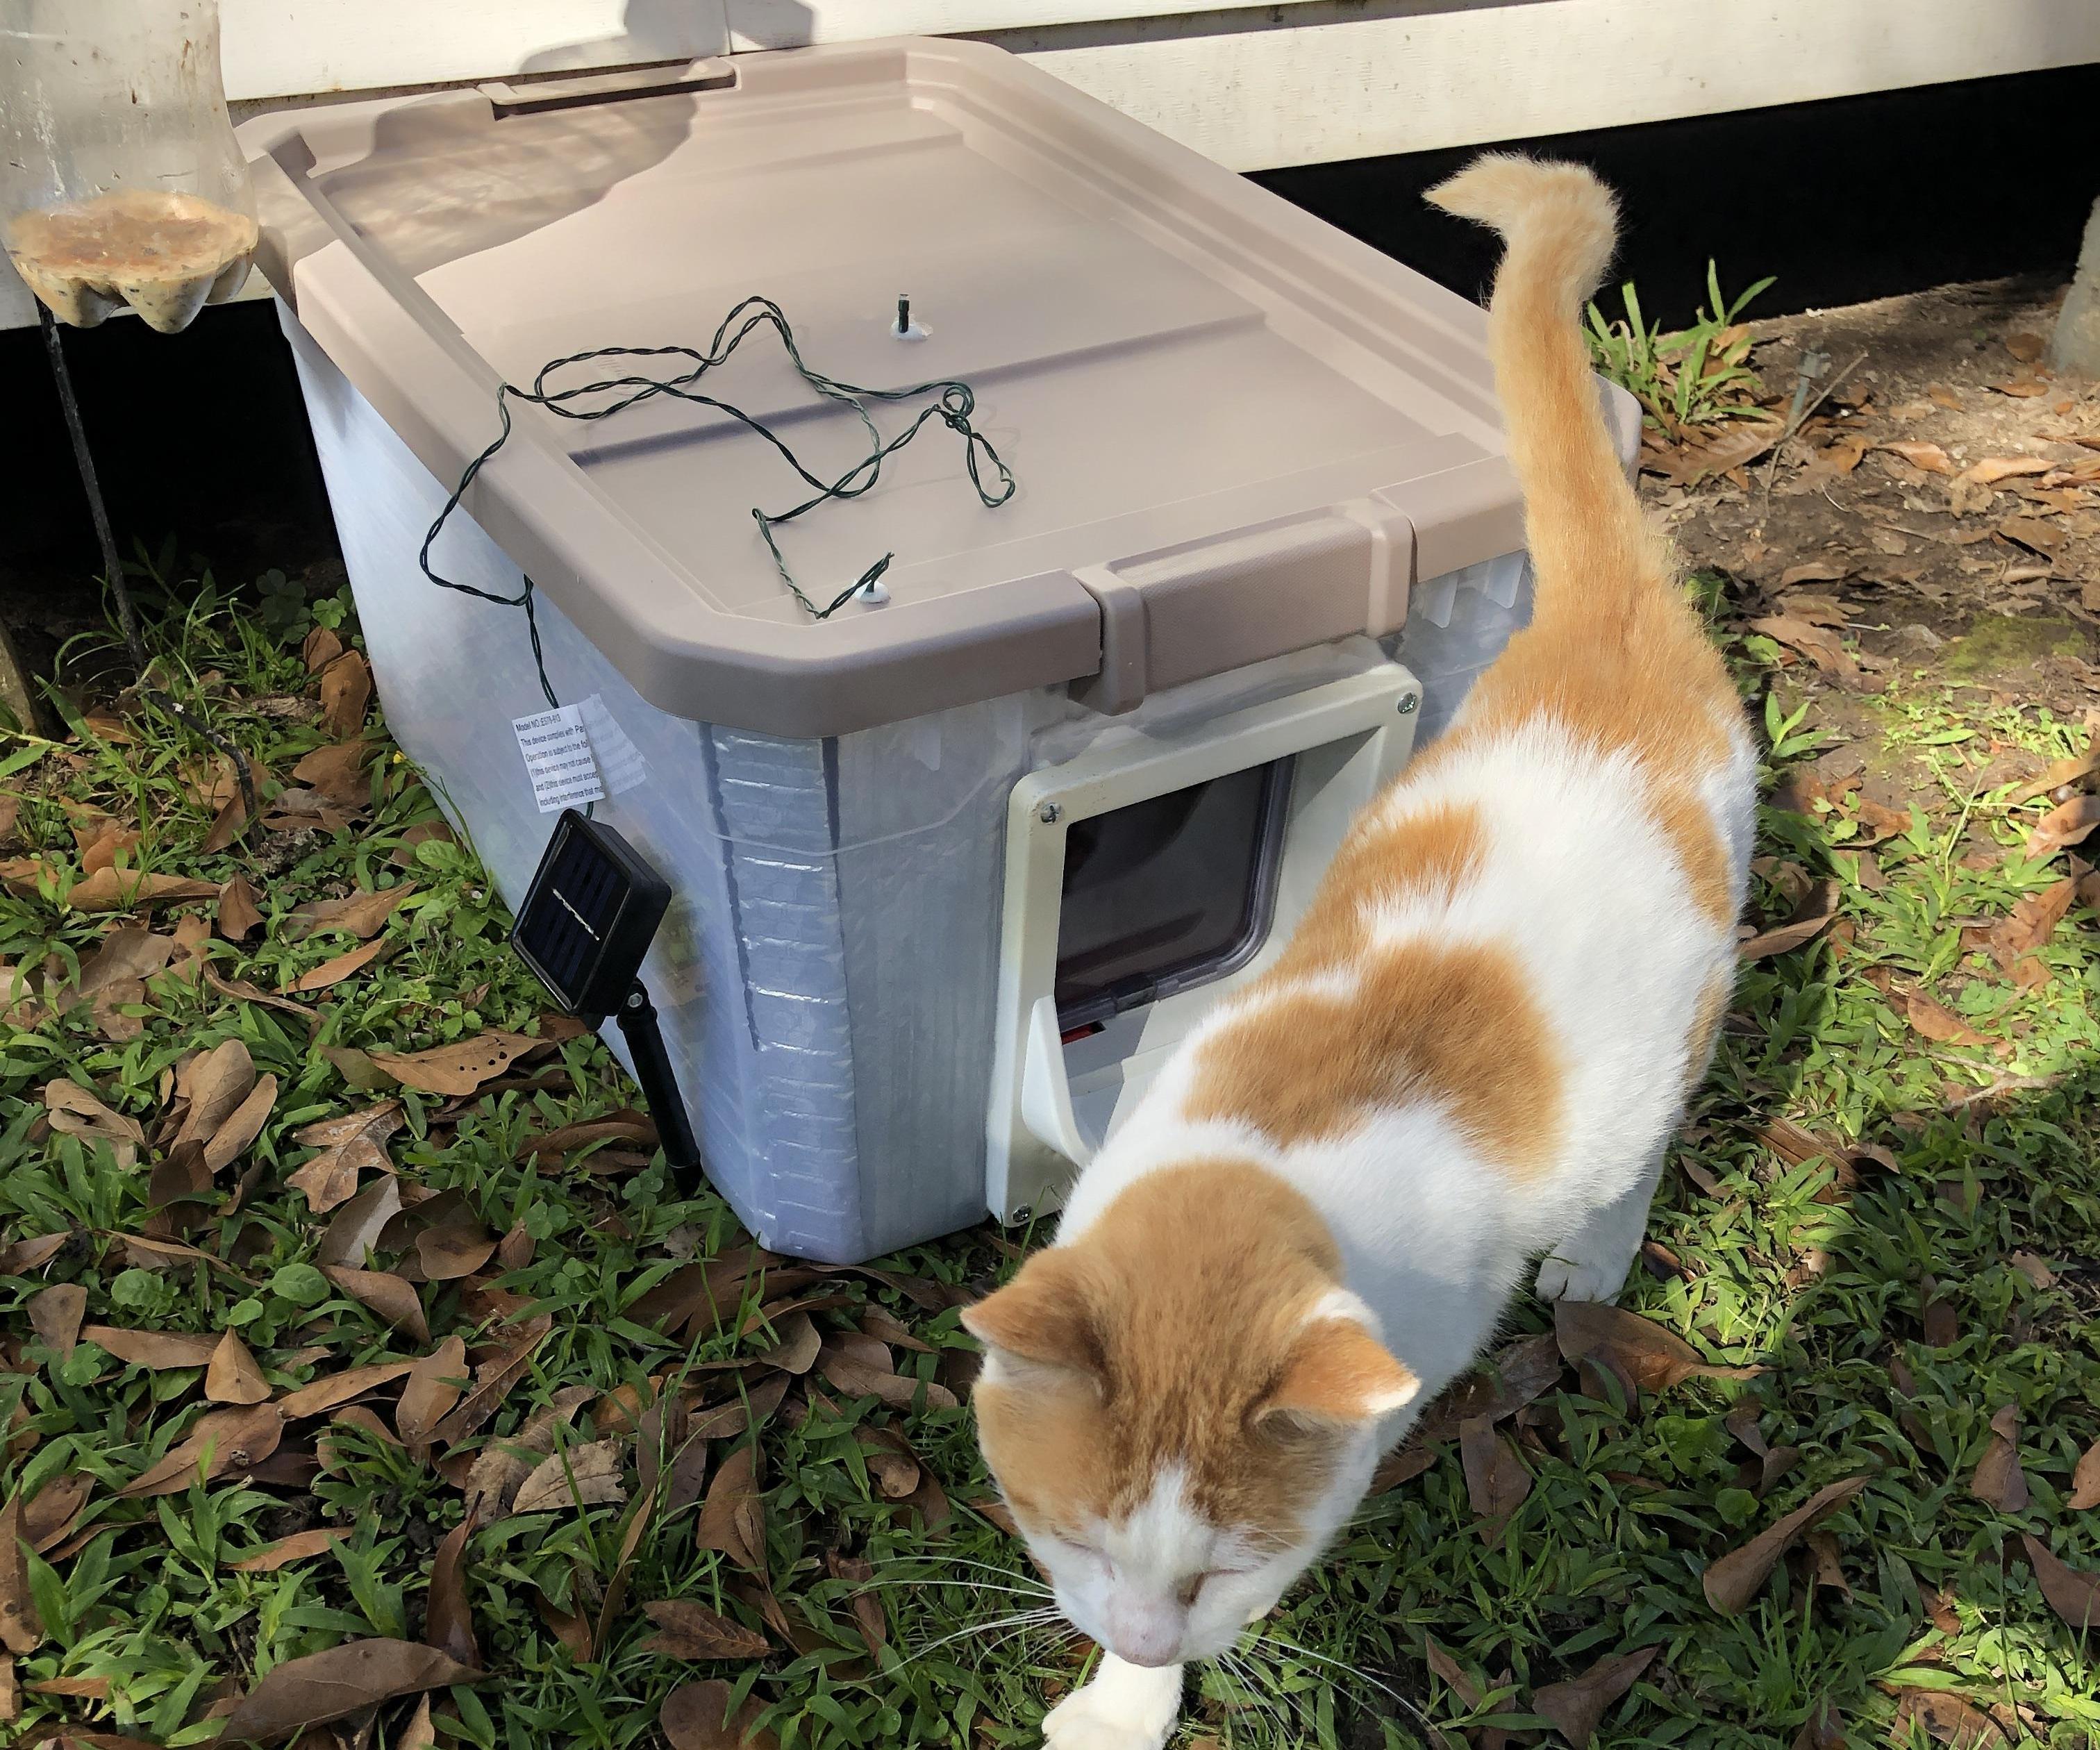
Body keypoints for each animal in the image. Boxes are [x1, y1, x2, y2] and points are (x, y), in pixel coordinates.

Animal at [966, 157, 1756, 1739]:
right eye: (1070, 1533)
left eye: (1223, 1569)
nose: (1138, 1631)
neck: (1265, 1151)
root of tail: (1604, 632)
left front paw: (1127, 1699)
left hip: (1684, 1007)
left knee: (1648, 1136)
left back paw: (1596, 1256)